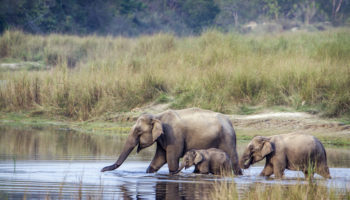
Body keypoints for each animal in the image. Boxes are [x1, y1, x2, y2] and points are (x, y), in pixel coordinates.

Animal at [101, 108, 243, 175]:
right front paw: (149, 172)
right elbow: (159, 159)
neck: (157, 116)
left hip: (227, 138)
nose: (102, 170)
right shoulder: (163, 138)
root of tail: (230, 122)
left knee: (234, 160)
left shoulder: (174, 136)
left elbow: (171, 158)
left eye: (138, 131)